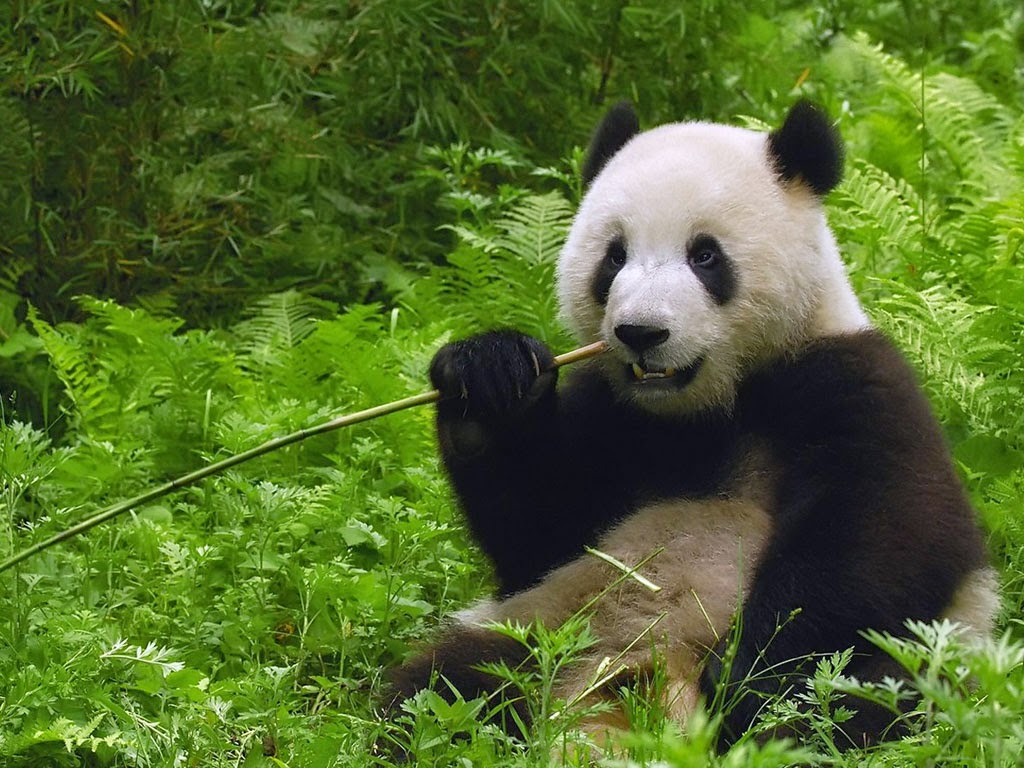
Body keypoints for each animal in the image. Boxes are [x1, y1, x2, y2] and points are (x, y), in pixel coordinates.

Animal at [385, 100, 999, 753]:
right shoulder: (609, 414)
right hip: (547, 626)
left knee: (859, 694)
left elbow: (886, 536)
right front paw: (490, 376)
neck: (703, 407)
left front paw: (745, 679)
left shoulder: (851, 383)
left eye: (705, 256)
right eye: (614, 256)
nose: (641, 332)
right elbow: (539, 533)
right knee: (445, 689)